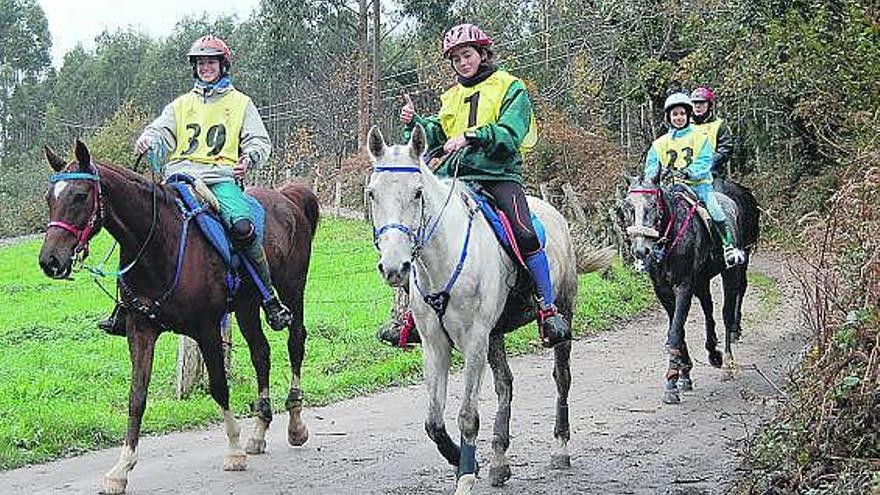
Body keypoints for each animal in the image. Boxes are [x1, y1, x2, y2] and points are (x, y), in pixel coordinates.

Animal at [39, 140, 320, 495]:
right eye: (50, 198)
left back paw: (295, 424)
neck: (157, 242)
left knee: (295, 342)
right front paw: (121, 469)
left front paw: (233, 451)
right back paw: (258, 432)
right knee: (261, 354)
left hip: (292, 290)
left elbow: (219, 387)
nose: (50, 260)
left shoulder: (206, 329)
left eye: (79, 195)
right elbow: (137, 397)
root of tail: (288, 197)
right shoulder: (140, 330)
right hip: (246, 306)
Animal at [364, 125, 584, 495]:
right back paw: (499, 461)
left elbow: (467, 415)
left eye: (418, 193)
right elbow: (433, 422)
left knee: (562, 378)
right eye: (372, 194)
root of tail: (553, 212)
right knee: (505, 385)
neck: (444, 257)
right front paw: (466, 462)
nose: (394, 267)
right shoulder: (435, 345)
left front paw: (466, 476)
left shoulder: (474, 341)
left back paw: (560, 449)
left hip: (561, 314)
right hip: (495, 335)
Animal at [624, 174, 756, 406]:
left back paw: (728, 363)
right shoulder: (663, 291)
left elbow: (675, 332)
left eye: (653, 204)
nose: (641, 250)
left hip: (732, 272)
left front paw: (671, 384)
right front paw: (684, 374)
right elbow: (678, 329)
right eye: (628, 206)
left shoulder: (683, 287)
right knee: (708, 309)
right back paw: (713, 353)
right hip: (702, 282)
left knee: (726, 314)